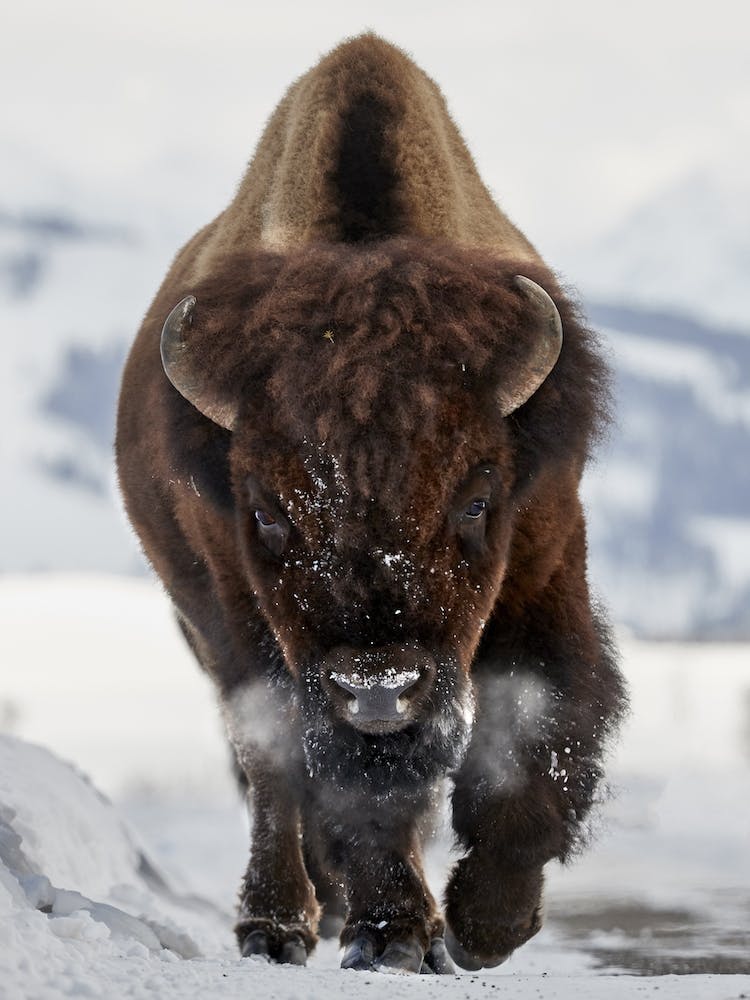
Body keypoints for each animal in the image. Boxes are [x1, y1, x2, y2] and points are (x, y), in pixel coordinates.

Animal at [116, 34, 626, 974]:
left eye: (478, 498)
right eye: (267, 512)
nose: (379, 691)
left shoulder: (544, 566)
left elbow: (542, 725)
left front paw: (485, 925)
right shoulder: (251, 620)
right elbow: (335, 783)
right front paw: (393, 933)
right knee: (272, 771)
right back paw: (280, 924)